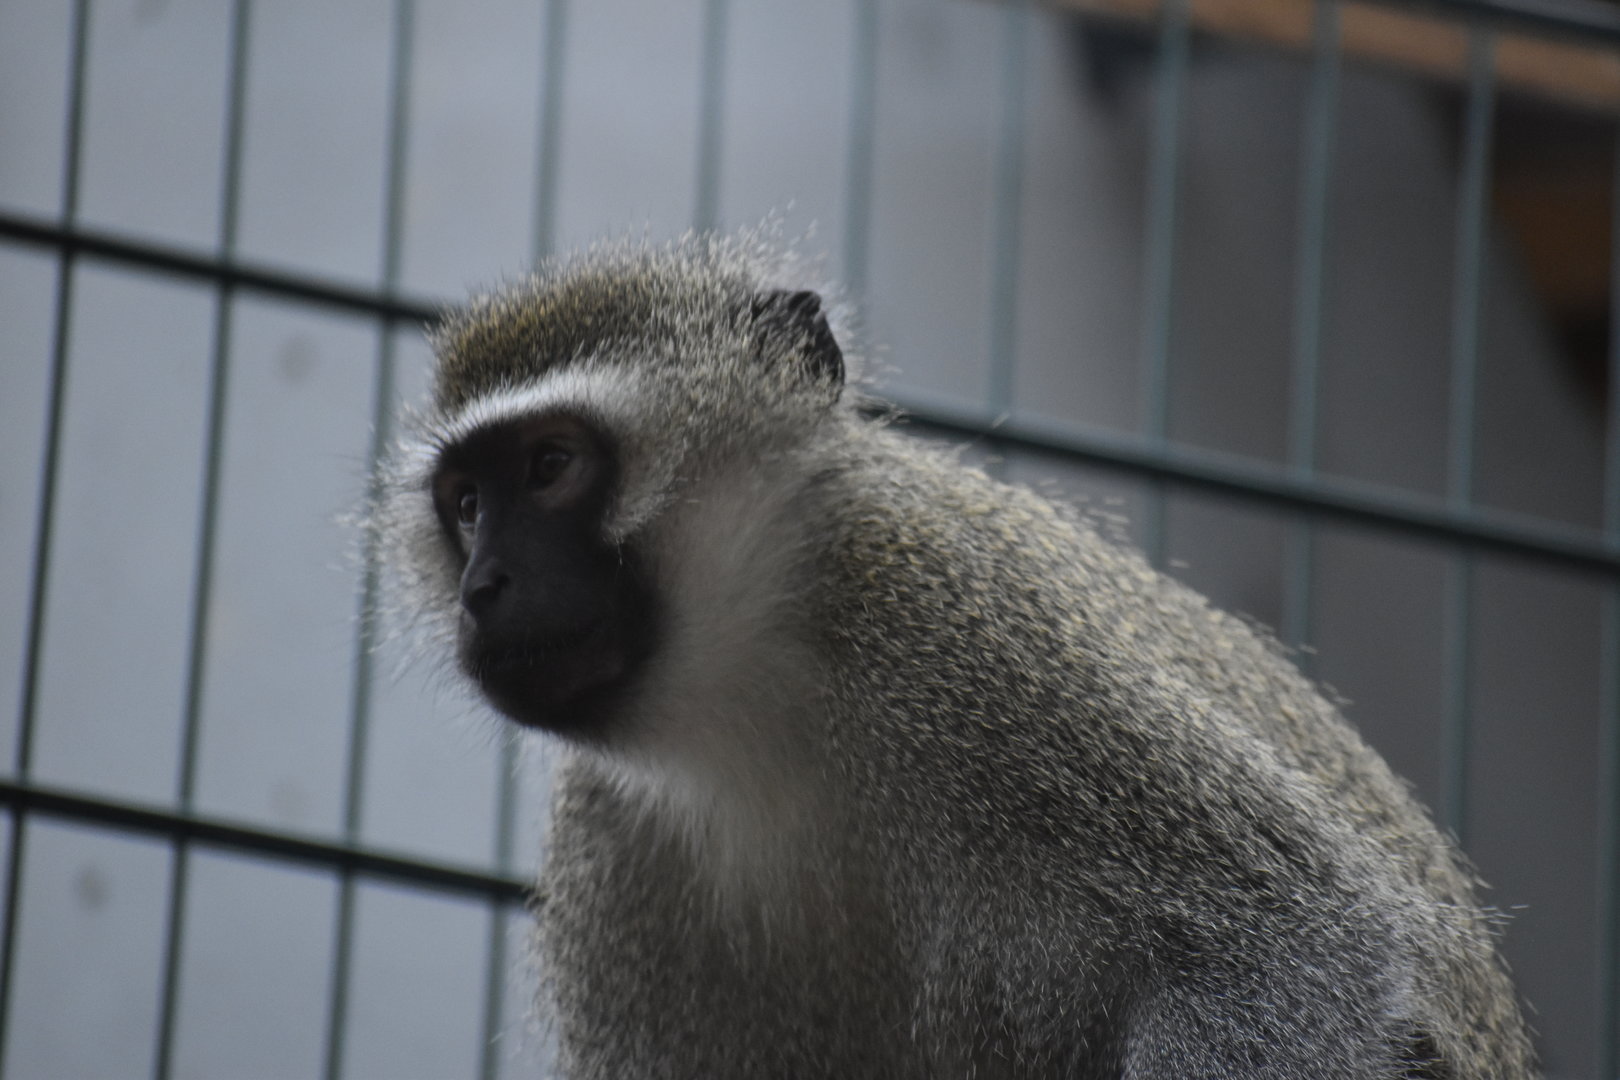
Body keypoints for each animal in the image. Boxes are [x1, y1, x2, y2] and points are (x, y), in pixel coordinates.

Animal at [373, 230, 1538, 1079]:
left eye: (552, 465)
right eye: (466, 505)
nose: (484, 588)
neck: (753, 703)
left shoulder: (964, 624)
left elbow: (1285, 950)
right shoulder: (610, 848)